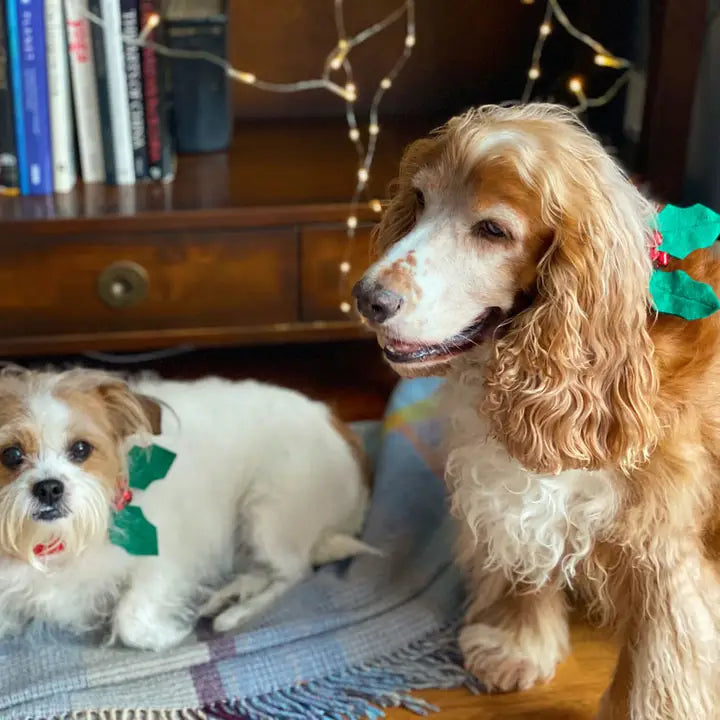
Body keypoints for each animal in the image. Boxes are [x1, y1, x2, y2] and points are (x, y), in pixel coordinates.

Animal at [0, 368, 374, 648]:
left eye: (80, 449)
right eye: (12, 455)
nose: (49, 487)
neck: (56, 543)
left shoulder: (168, 557)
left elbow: (130, 618)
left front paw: (166, 635)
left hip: (266, 513)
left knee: (296, 571)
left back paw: (236, 612)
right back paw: (228, 594)